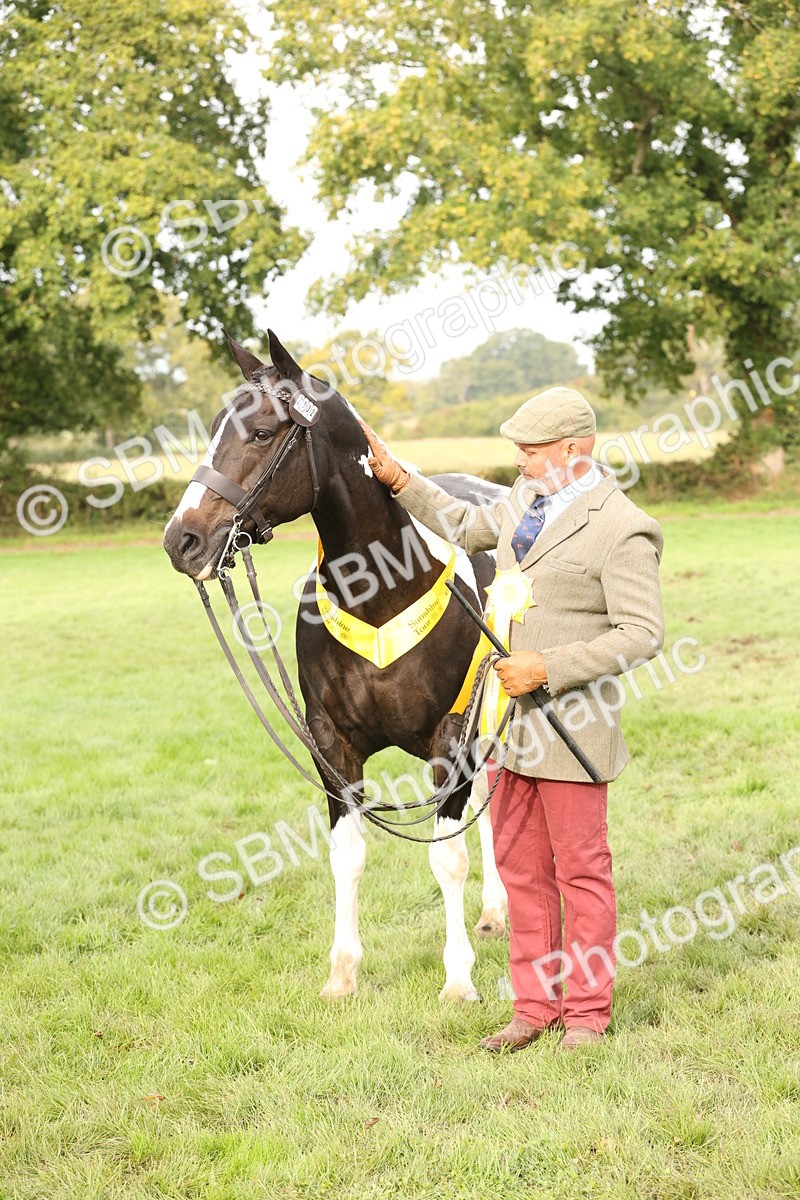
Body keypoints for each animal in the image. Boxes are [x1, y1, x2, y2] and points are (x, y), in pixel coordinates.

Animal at [163, 329, 509, 1001]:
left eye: (262, 432)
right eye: (214, 427)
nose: (181, 541)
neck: (380, 592)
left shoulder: (449, 739)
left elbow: (446, 857)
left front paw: (458, 979)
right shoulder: (333, 745)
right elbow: (346, 856)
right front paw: (342, 972)